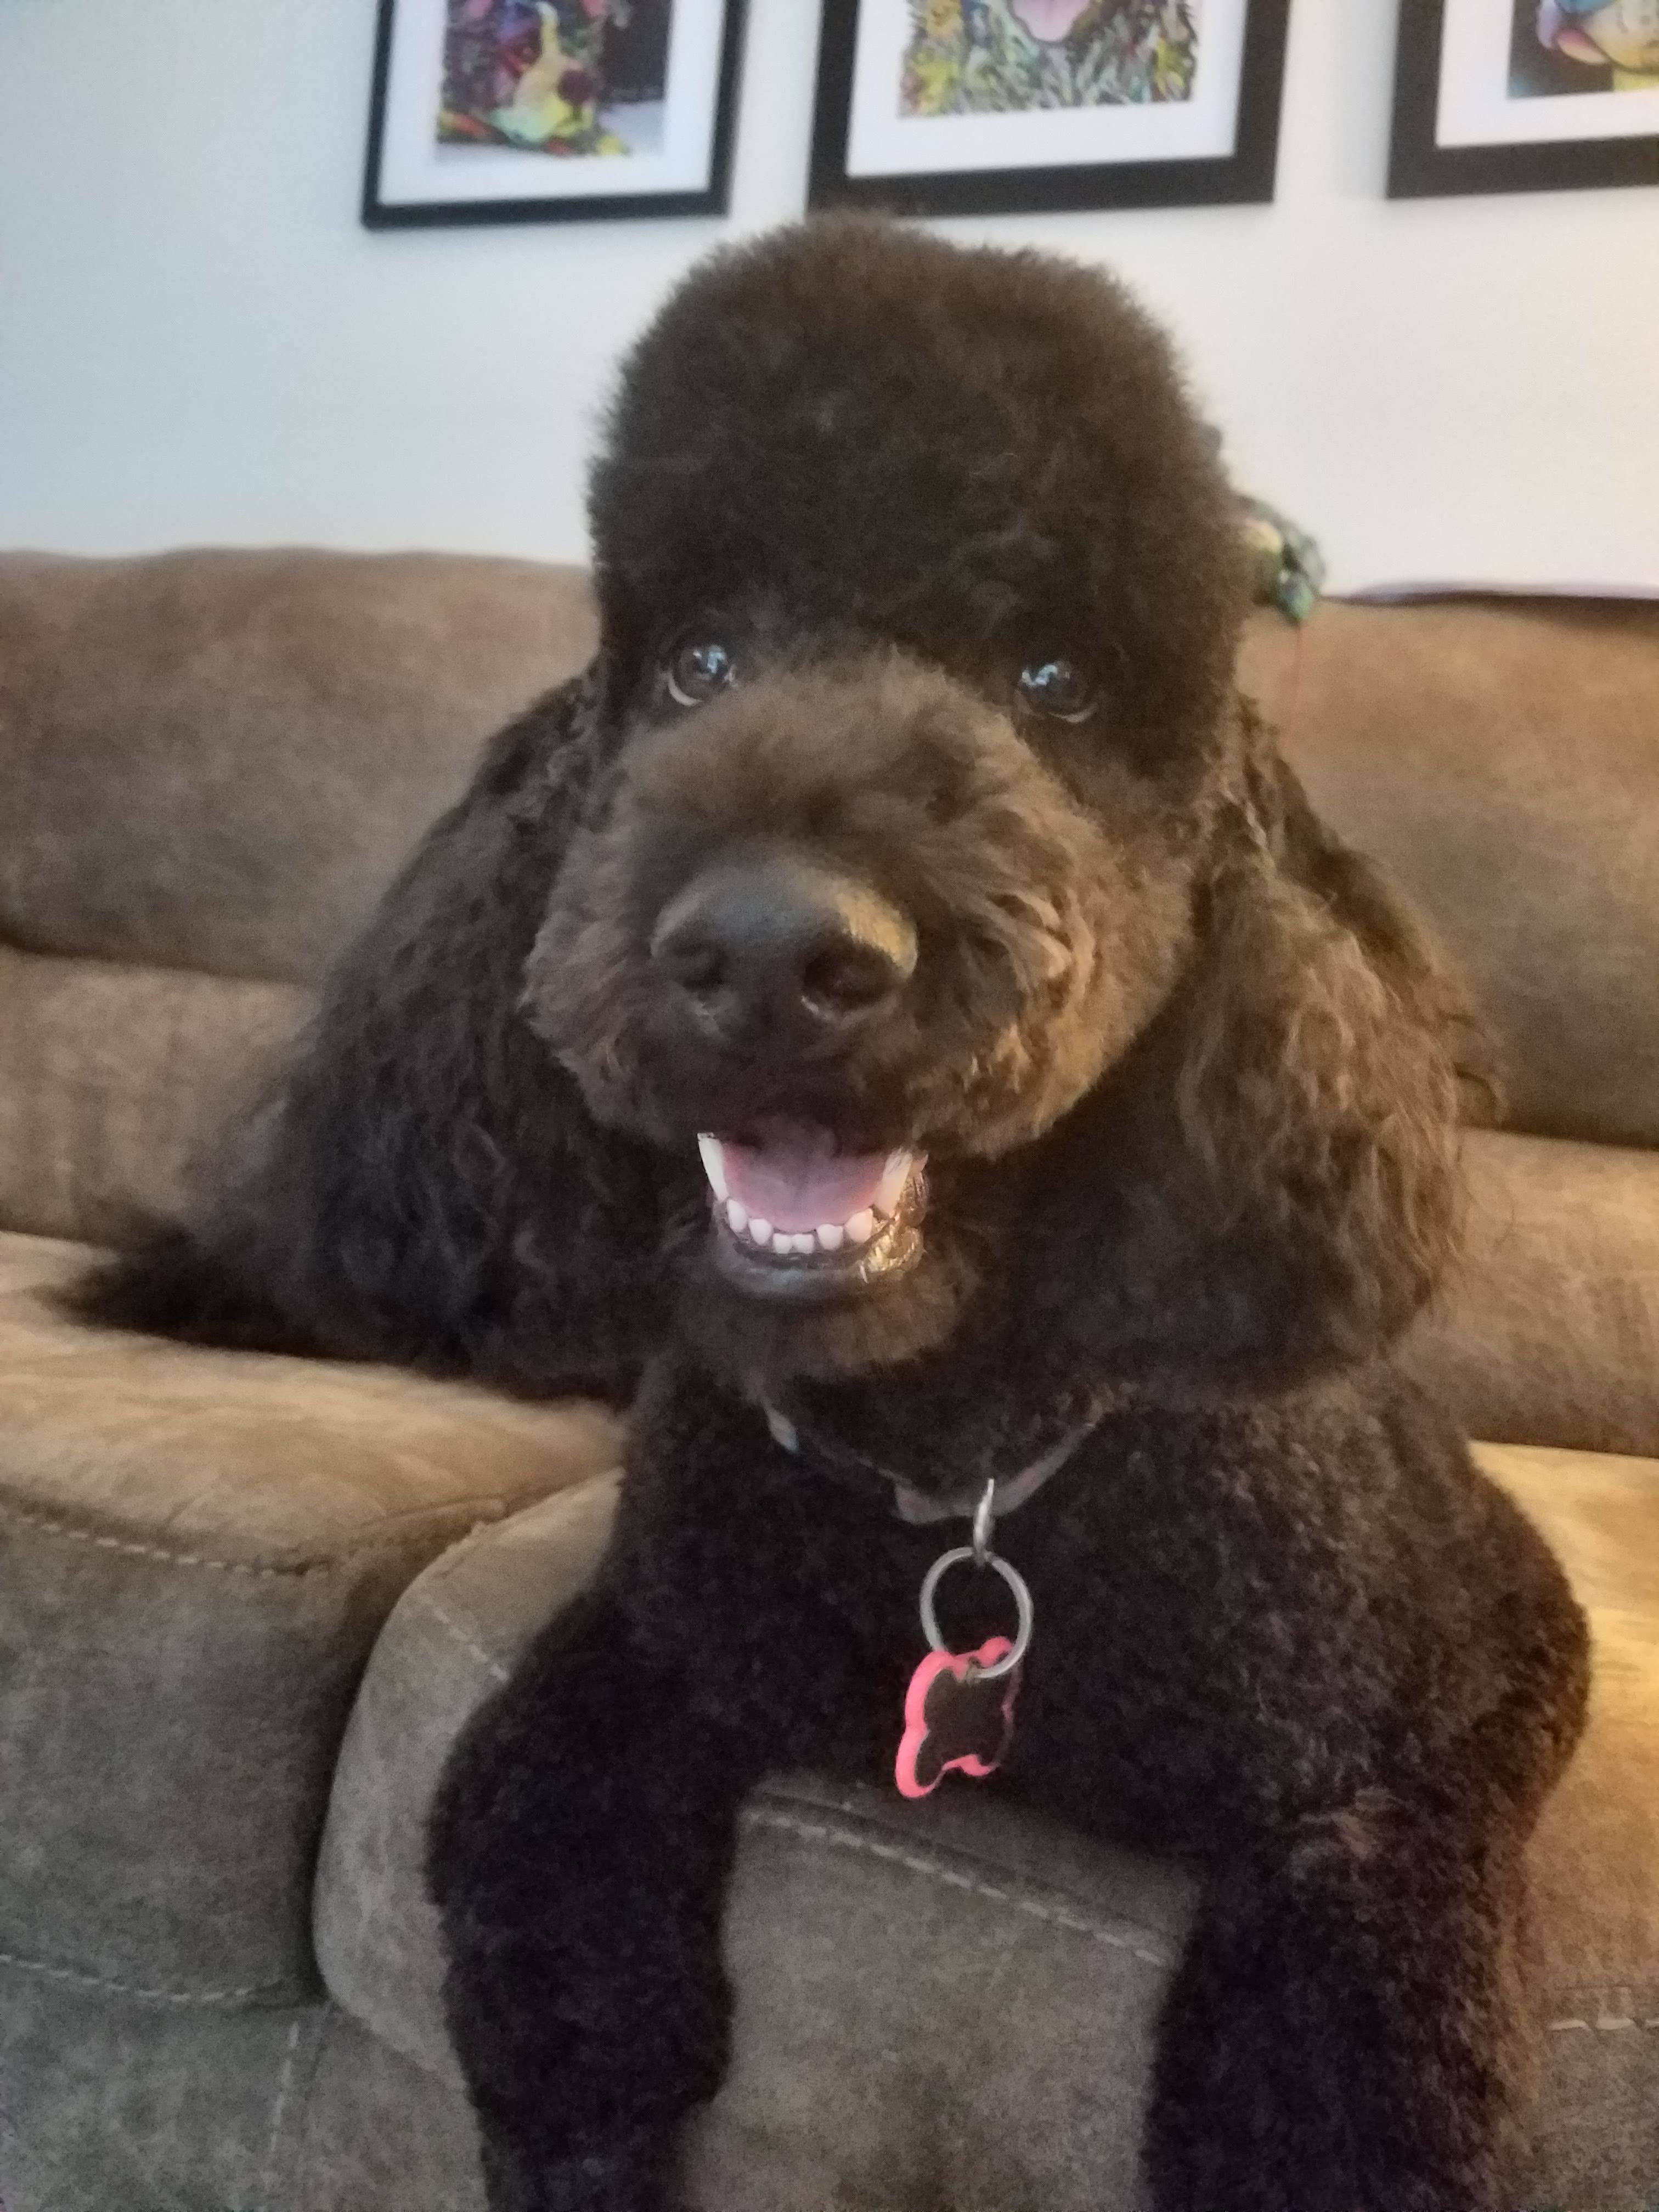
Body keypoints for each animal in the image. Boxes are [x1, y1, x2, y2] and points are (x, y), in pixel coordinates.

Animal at [82, 218, 1590, 2210]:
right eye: (696, 664)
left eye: (1054, 683)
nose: (771, 950)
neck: (949, 1474)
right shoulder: (646, 1642)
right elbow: (552, 1928)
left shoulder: (1454, 1701)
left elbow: (1355, 2070)